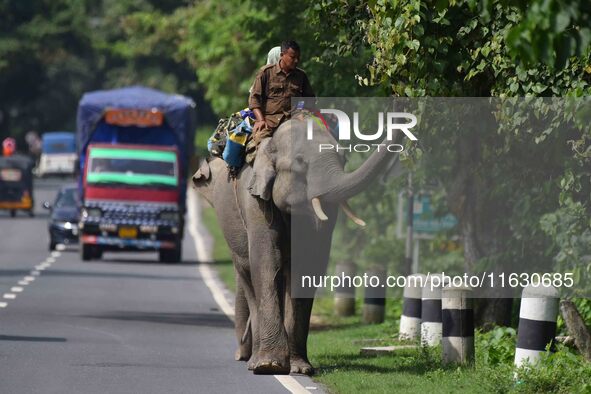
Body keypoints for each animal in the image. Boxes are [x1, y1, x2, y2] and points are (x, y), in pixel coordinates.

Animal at [192, 117, 400, 376]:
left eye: (344, 159)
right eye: (300, 161)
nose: (402, 119)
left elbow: (308, 264)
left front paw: (300, 369)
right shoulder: (254, 200)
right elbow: (267, 259)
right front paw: (269, 365)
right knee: (248, 272)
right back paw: (255, 361)